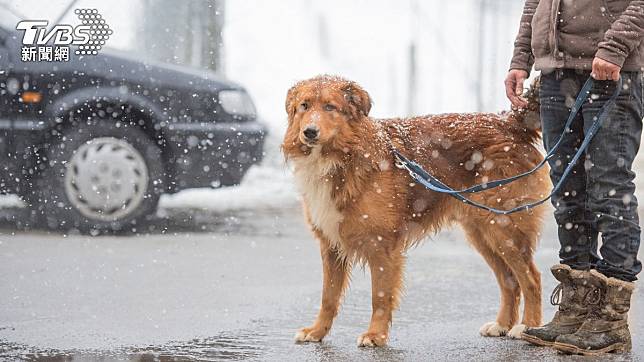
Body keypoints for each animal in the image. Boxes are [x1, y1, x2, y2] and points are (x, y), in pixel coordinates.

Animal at [284, 75, 548, 346]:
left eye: (330, 107)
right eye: (304, 106)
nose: (309, 132)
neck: (342, 156)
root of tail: (509, 123)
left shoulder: (382, 244)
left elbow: (379, 296)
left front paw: (375, 335)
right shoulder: (330, 245)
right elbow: (328, 296)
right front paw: (317, 331)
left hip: (504, 228)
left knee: (532, 279)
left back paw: (526, 327)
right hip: (482, 232)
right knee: (509, 282)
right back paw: (502, 325)